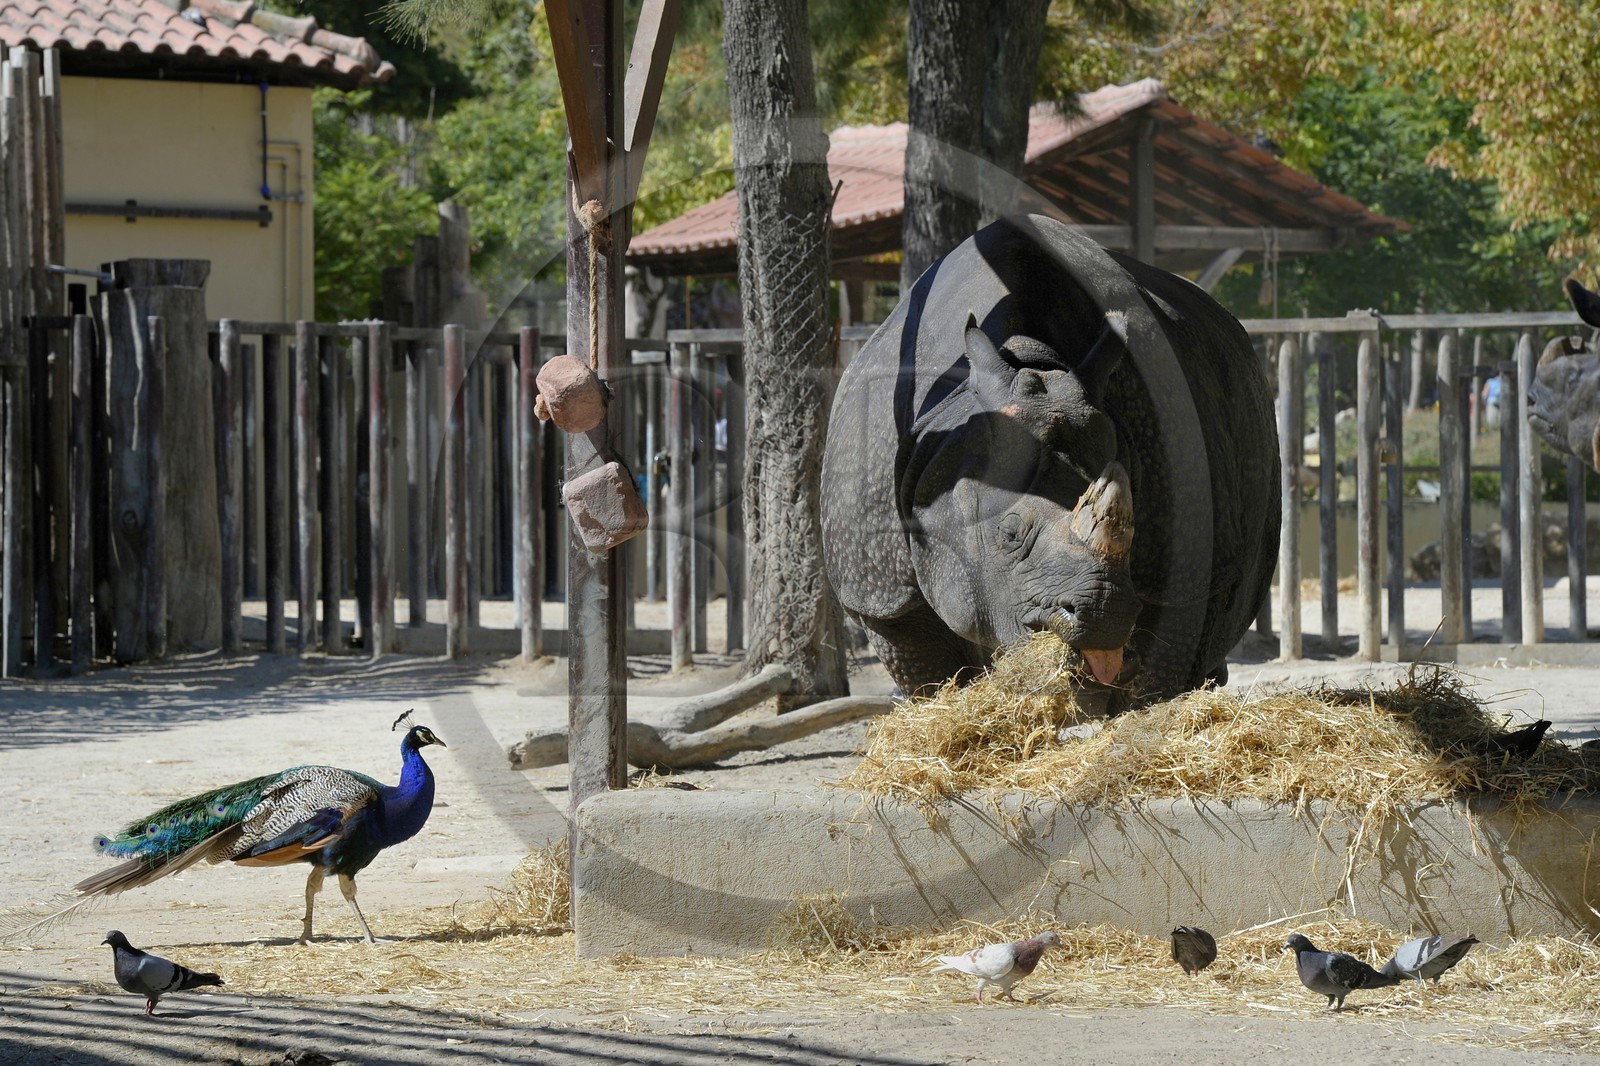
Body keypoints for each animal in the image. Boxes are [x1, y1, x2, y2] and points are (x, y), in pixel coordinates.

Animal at [821, 214, 1279, 711]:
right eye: (1008, 535)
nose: (1103, 610)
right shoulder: (879, 590)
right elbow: (930, 676)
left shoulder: (1185, 569)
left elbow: (1153, 679)